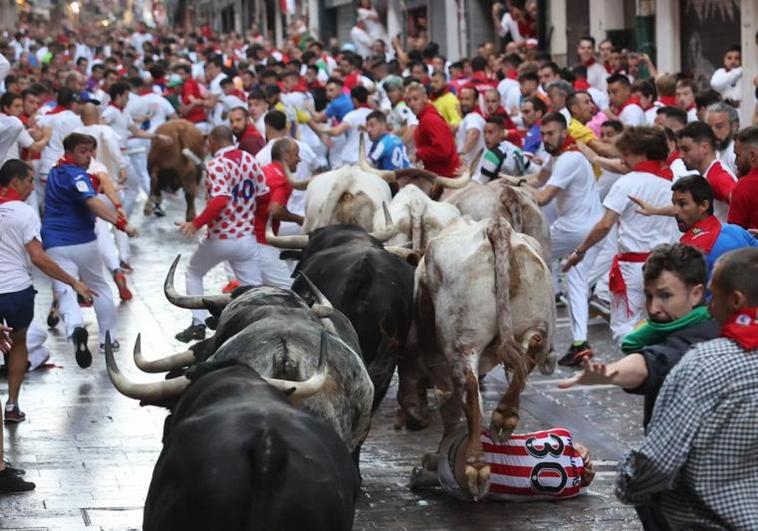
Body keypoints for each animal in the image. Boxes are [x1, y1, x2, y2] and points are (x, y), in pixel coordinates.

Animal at [410, 217, 560, 502]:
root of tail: (496, 226)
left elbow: (451, 407)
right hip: (534, 320)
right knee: (528, 355)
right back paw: (505, 415)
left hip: (463, 338)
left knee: (469, 390)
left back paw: (476, 464)